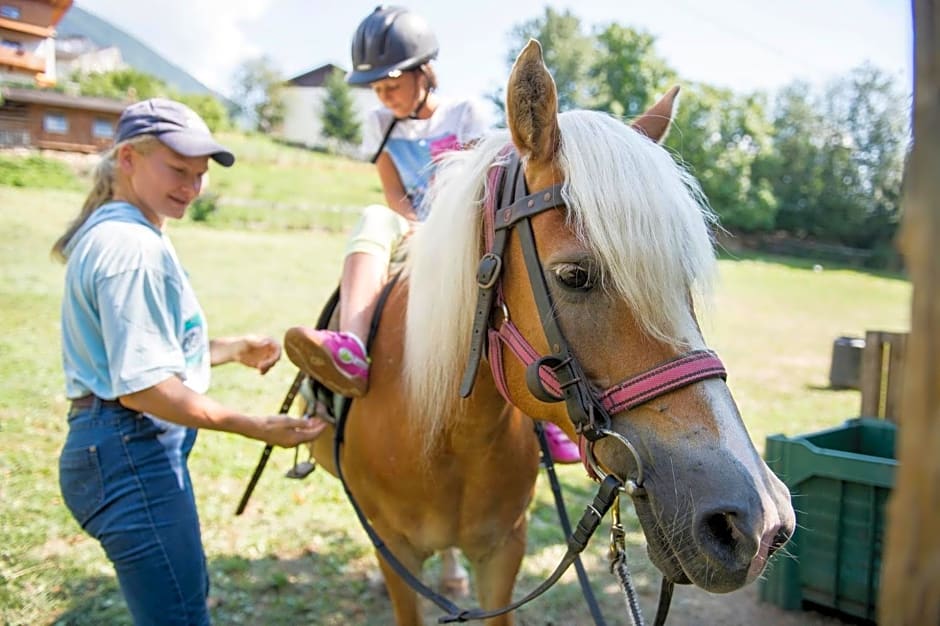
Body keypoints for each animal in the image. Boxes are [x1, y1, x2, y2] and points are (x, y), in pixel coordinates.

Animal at [302, 41, 792, 620]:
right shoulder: (397, 554)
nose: (760, 521)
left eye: (685, 282)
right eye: (574, 276)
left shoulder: (503, 553)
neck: (441, 437)